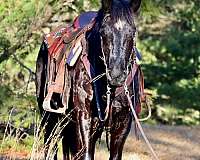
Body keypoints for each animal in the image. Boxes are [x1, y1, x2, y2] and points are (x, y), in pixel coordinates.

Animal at [35, 0, 141, 159]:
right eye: (103, 32)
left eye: (132, 32)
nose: (116, 75)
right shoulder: (84, 115)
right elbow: (85, 154)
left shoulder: (123, 120)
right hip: (49, 116)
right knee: (50, 146)